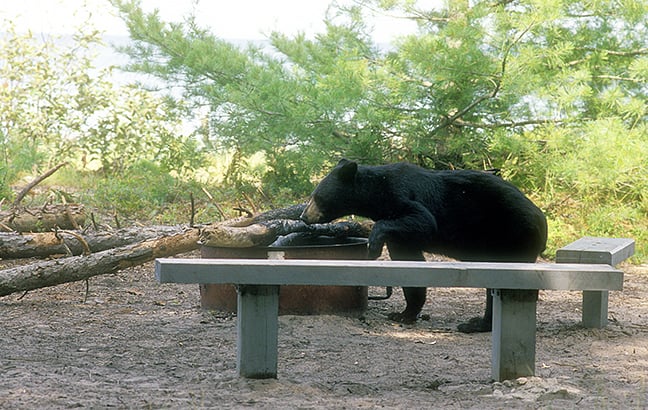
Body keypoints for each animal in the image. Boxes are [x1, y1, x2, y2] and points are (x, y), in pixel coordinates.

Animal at [302, 159, 544, 332]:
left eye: (316, 196)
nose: (304, 216)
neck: (377, 193)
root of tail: (542, 222)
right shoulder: (399, 233)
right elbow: (408, 260)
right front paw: (405, 313)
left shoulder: (401, 194)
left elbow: (424, 220)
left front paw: (374, 245)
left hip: (510, 238)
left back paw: (477, 323)